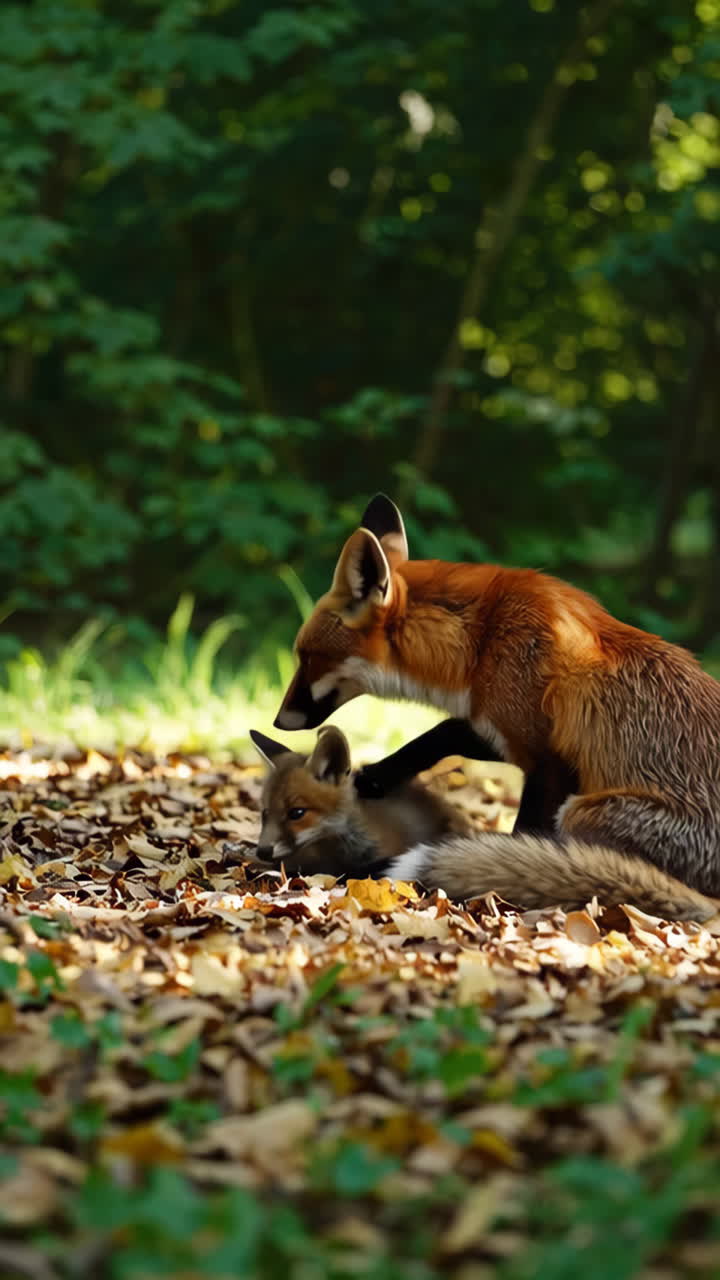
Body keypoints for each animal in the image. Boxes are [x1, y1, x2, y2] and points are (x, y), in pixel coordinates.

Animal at [272, 493, 720, 922]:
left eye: (307, 657)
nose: (277, 720)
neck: (481, 642)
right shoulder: (503, 725)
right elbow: (447, 732)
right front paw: (379, 775)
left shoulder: (548, 762)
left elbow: (524, 835)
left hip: (581, 812)